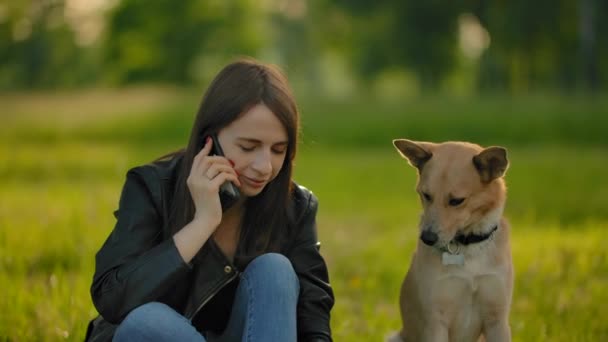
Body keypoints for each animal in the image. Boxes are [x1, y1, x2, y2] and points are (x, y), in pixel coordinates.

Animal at [388, 140, 510, 342]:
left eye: (457, 201)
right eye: (426, 195)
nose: (427, 238)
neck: (467, 247)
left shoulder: (497, 320)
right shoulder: (435, 321)